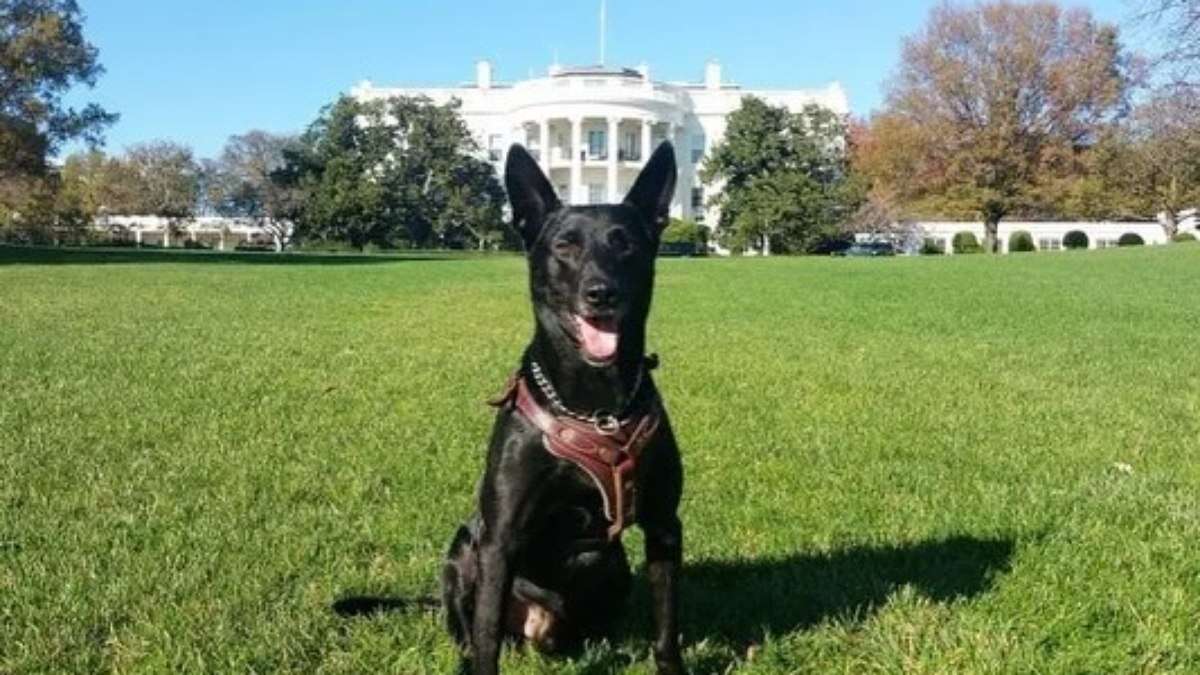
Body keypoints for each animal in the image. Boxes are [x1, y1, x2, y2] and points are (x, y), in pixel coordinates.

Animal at [441, 139, 686, 667]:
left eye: (625, 243)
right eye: (565, 245)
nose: (601, 293)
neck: (597, 407)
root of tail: (539, 628)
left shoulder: (664, 527)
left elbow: (666, 632)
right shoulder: (500, 539)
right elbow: (487, 635)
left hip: (613, 564)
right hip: (463, 550)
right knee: (470, 628)